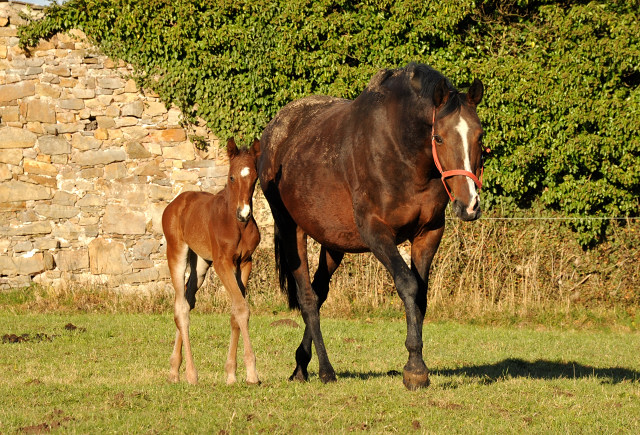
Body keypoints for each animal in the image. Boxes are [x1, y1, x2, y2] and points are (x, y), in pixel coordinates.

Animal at [162, 139, 262, 384]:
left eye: (255, 178)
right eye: (231, 177)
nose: (244, 213)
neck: (236, 224)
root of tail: (175, 203)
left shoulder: (245, 262)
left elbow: (236, 313)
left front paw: (231, 374)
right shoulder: (222, 263)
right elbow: (241, 308)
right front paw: (252, 373)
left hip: (200, 263)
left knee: (188, 300)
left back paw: (174, 370)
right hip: (177, 252)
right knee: (181, 307)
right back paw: (190, 373)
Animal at [258, 62, 482, 392]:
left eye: (480, 136)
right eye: (439, 138)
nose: (469, 205)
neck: (403, 154)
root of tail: (276, 129)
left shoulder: (429, 233)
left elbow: (421, 295)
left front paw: (416, 366)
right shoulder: (376, 232)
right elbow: (408, 284)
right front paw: (415, 369)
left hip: (333, 244)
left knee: (319, 293)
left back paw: (301, 365)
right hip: (291, 230)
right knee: (308, 299)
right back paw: (325, 371)